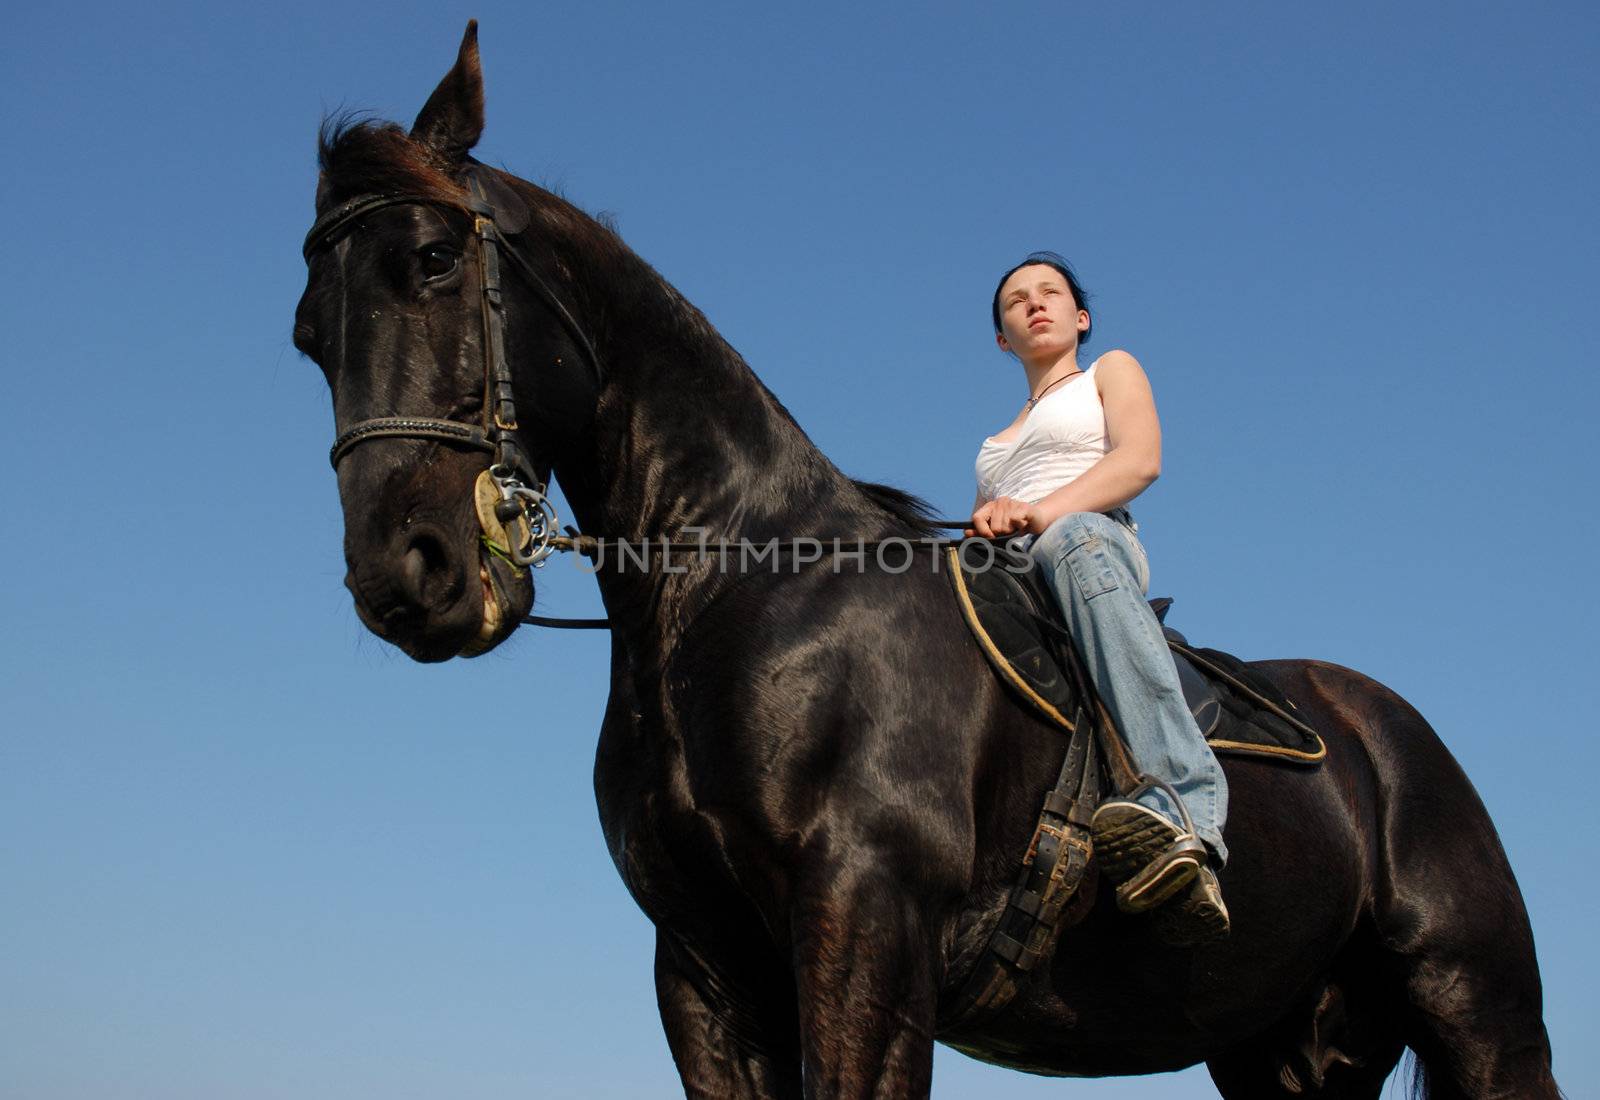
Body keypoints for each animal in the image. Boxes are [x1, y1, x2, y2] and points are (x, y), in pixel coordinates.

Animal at [294, 25, 1555, 1100]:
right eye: (309, 334)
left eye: (433, 258)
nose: (405, 576)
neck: (748, 595)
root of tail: (1384, 731)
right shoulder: (702, 968)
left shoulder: (865, 925)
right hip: (1284, 1048)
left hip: (1479, 1007)